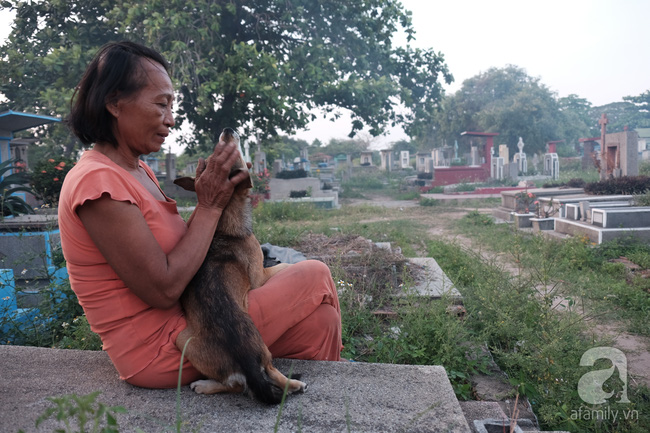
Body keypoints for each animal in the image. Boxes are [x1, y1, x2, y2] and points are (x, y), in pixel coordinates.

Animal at [171, 127, 306, 402]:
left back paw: (205, 385)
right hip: (263, 351)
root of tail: (246, 360)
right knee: (267, 374)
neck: (222, 222)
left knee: (234, 384)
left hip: (183, 340)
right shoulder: (260, 275)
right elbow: (279, 267)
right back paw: (295, 384)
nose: (227, 129)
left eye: (216, 153)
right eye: (236, 155)